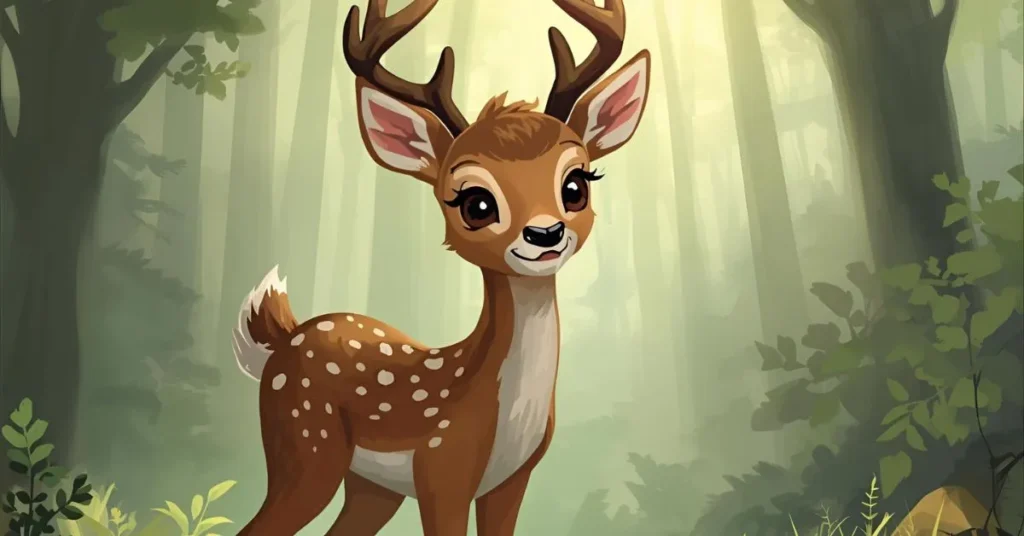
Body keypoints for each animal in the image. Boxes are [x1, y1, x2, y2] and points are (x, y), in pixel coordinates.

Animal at [230, 0, 650, 534]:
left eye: (577, 184)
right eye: (475, 203)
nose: (545, 234)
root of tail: (284, 337)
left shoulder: (513, 479)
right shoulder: (441, 469)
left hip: (370, 486)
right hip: (304, 444)